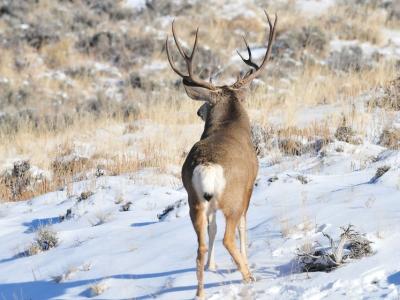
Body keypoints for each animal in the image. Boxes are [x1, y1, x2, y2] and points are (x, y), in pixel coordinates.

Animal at [166, 10, 278, 298]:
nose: (198, 111)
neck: (230, 125)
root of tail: (208, 167)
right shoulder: (249, 187)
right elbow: (244, 230)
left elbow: (212, 230)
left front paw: (213, 266)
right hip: (232, 199)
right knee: (229, 235)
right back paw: (249, 277)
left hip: (194, 201)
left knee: (202, 243)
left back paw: (200, 292)